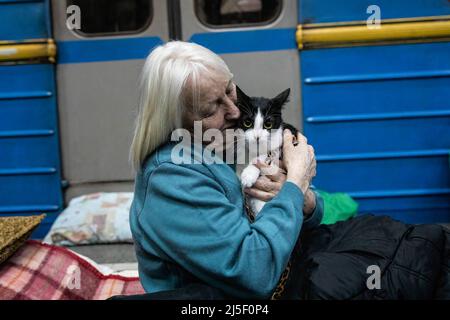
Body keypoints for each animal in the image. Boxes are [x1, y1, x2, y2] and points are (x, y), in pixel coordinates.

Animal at [234, 86, 298, 216]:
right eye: (247, 122)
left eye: (268, 124)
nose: (257, 137)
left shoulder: (285, 138)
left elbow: (267, 154)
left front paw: (249, 174)